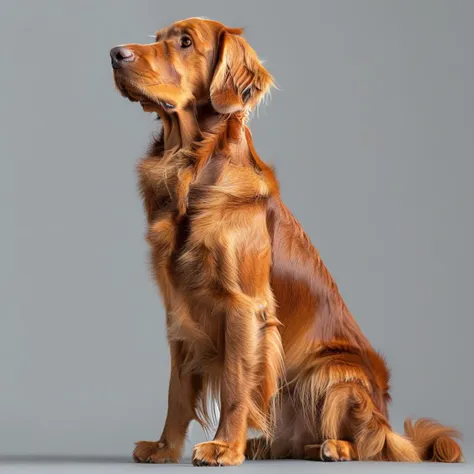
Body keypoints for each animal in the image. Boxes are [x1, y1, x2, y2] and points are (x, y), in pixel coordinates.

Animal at [109, 16, 462, 464]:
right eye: (156, 39)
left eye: (185, 42)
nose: (115, 54)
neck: (192, 169)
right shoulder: (178, 310)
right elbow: (177, 392)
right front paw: (164, 448)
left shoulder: (244, 307)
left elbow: (235, 385)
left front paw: (223, 447)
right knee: (297, 442)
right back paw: (266, 444)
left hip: (331, 372)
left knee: (373, 442)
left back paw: (336, 446)